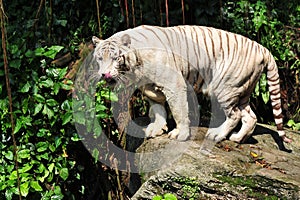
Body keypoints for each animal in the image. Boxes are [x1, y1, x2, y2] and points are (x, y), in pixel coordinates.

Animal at [92, 25, 292, 144]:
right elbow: (158, 109)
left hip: (225, 88)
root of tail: (262, 48)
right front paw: (157, 128)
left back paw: (216, 135)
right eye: (99, 58)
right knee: (250, 117)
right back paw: (237, 138)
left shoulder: (174, 84)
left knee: (234, 115)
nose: (104, 74)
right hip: (241, 91)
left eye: (116, 58)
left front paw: (179, 134)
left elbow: (178, 111)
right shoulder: (148, 88)